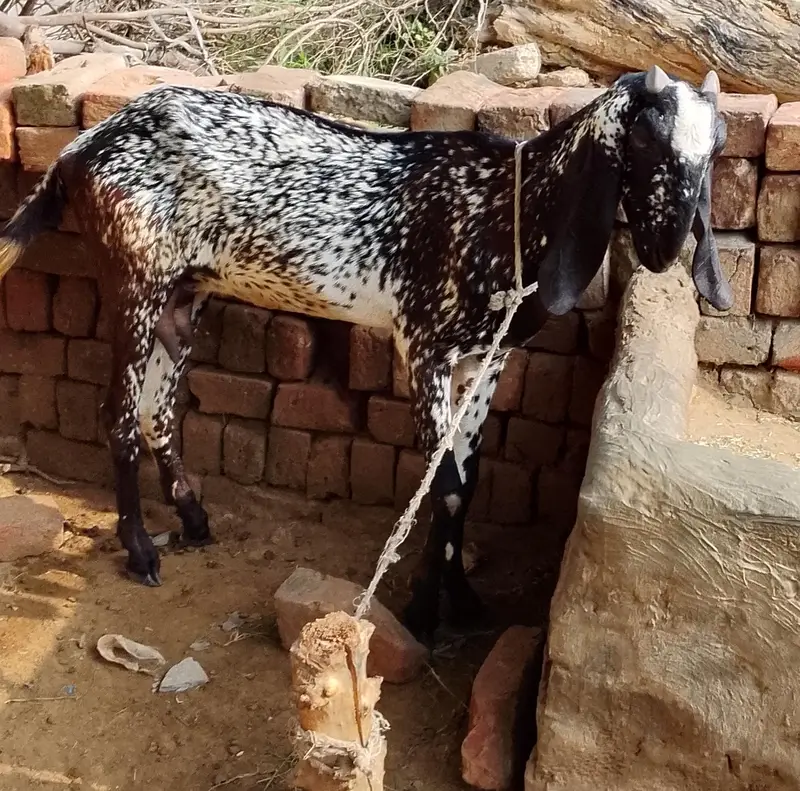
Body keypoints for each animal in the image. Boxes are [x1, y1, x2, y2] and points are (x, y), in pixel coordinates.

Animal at [0, 64, 731, 644]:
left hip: (184, 295)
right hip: (135, 279)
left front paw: (465, 602)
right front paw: (426, 613)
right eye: (644, 138)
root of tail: (84, 145)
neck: (506, 207)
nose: (667, 247)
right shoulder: (426, 346)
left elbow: (465, 482)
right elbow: (442, 483)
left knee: (158, 409)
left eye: (715, 150)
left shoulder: (483, 361)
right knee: (120, 414)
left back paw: (194, 518)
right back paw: (141, 550)